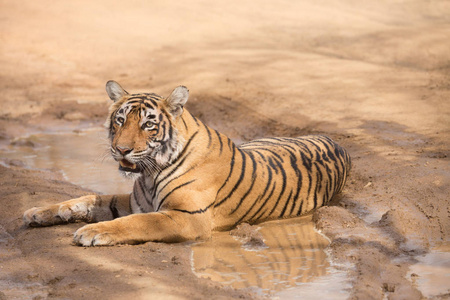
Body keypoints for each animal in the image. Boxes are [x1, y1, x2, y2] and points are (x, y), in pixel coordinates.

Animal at [22, 80, 354, 246]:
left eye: (147, 125)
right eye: (120, 120)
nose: (121, 150)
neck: (150, 173)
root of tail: (337, 141)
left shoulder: (186, 216)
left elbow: (135, 223)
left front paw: (92, 232)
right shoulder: (134, 201)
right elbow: (86, 199)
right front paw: (38, 212)